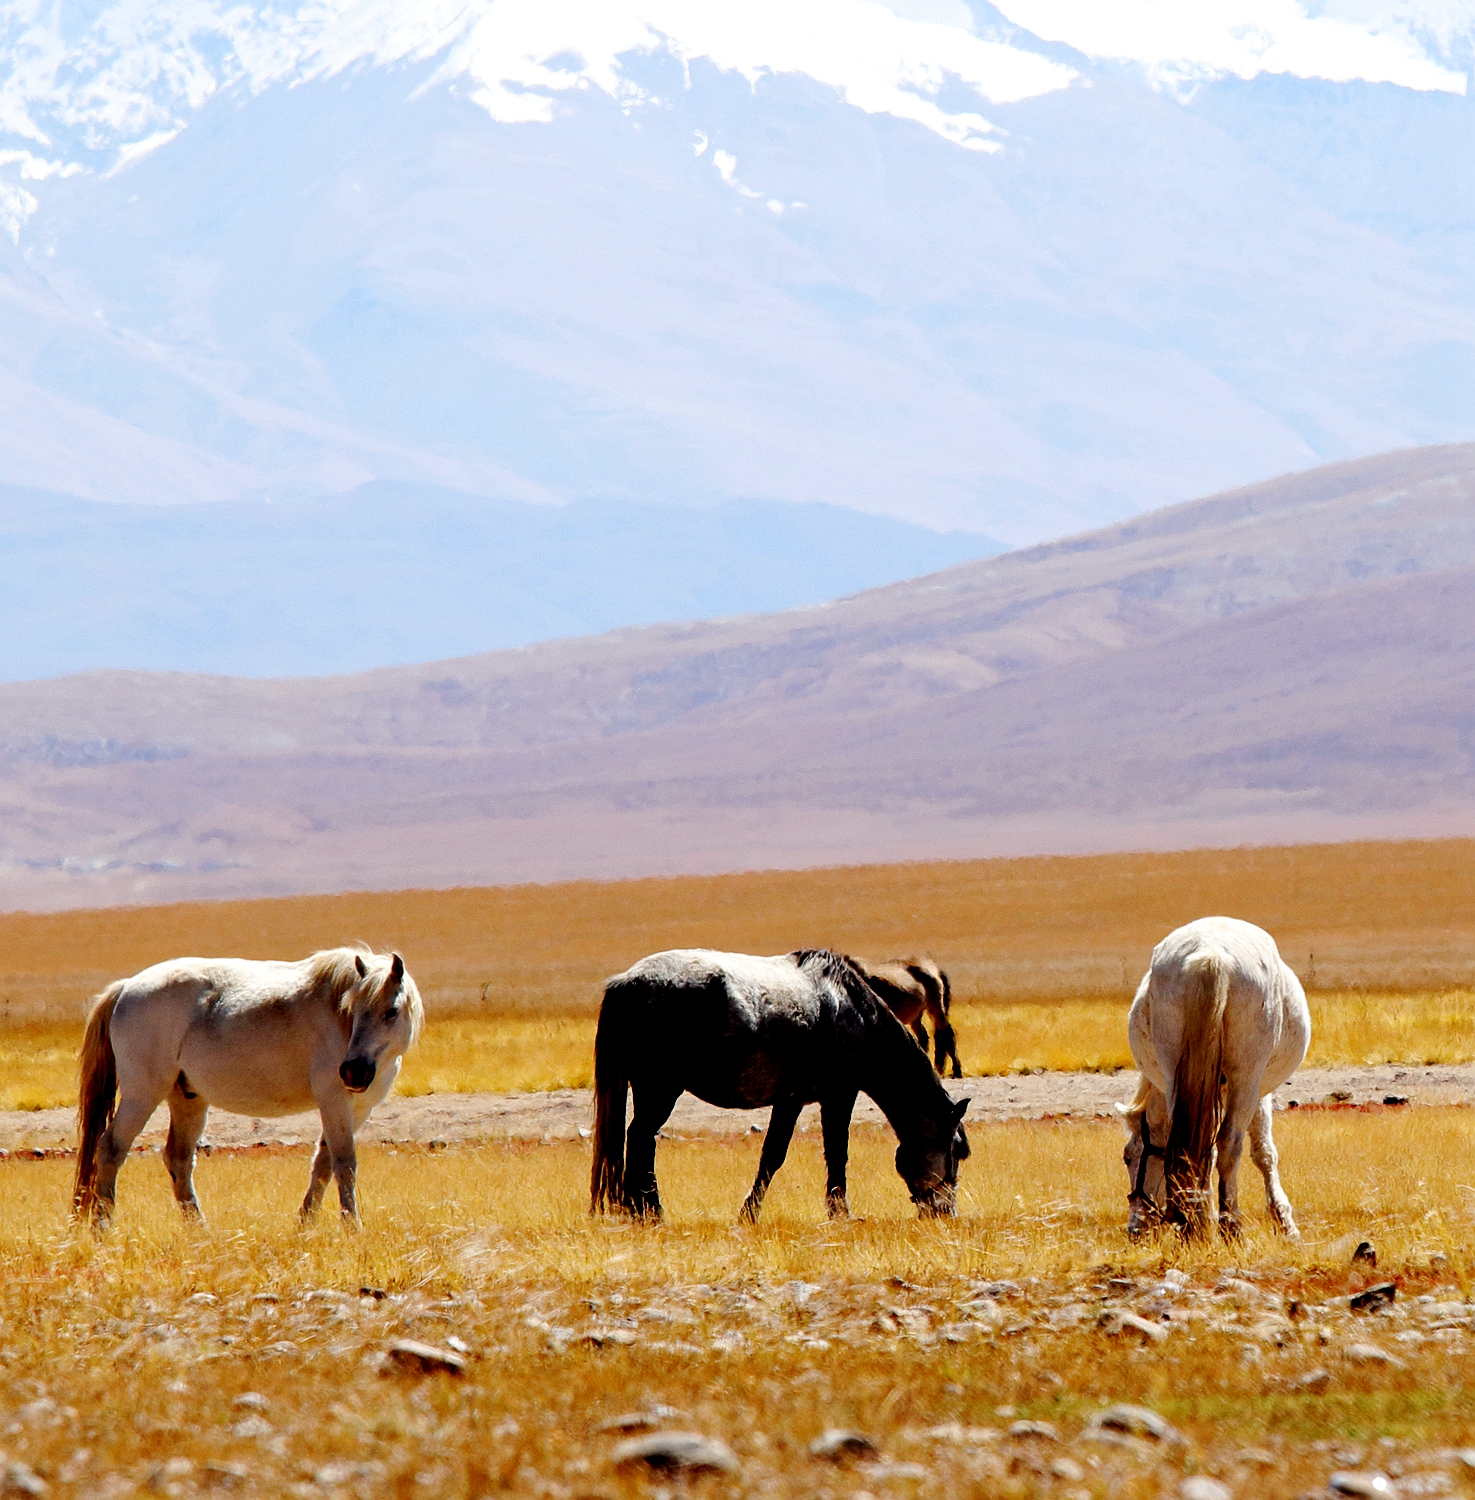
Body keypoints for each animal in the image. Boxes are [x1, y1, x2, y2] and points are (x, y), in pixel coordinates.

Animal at [74, 948, 420, 1230]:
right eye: (354, 1008)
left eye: (391, 1011)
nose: (353, 1071)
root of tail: (126, 987)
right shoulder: (334, 1101)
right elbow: (344, 1163)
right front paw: (351, 1227)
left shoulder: (359, 1108)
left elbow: (323, 1163)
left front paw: (305, 1223)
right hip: (142, 1095)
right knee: (110, 1149)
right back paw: (102, 1227)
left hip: (188, 1099)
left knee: (178, 1159)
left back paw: (199, 1230)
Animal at [588, 948, 966, 1218]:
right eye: (957, 1150)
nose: (945, 1213)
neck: (857, 1018)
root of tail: (626, 982)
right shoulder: (839, 1096)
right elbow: (833, 1153)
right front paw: (839, 1213)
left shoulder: (791, 1100)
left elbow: (773, 1155)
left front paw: (750, 1213)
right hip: (660, 1088)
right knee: (641, 1138)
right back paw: (649, 1212)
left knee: (639, 1140)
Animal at [1116, 912, 1314, 1242]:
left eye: (1129, 1156)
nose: (1135, 1228)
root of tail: (1210, 953)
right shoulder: (1257, 1091)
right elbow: (1264, 1153)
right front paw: (1284, 1222)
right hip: (1246, 1079)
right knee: (1228, 1146)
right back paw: (1230, 1226)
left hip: (1177, 1076)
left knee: (1191, 1151)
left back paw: (1194, 1225)